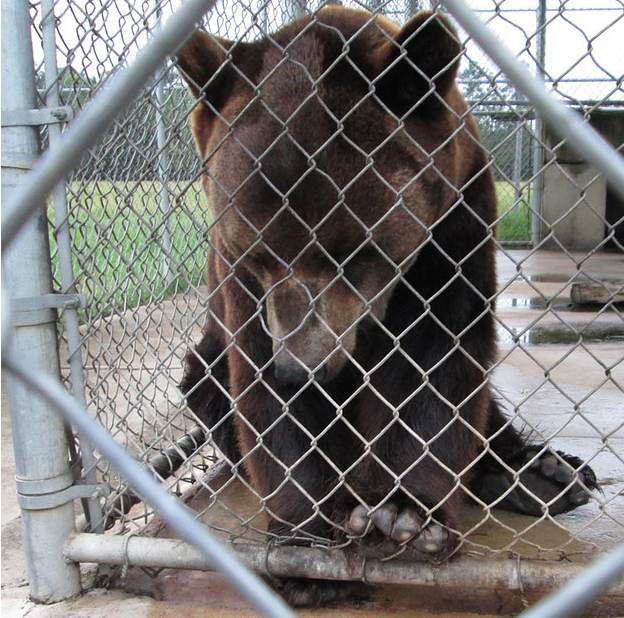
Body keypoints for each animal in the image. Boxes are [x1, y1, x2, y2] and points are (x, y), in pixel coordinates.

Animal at [174, 8, 596, 608]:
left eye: (354, 251)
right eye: (257, 254)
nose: (303, 368)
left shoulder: (454, 226)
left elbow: (434, 365)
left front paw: (405, 514)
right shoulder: (238, 284)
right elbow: (263, 391)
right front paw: (305, 546)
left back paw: (547, 474)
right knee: (207, 383)